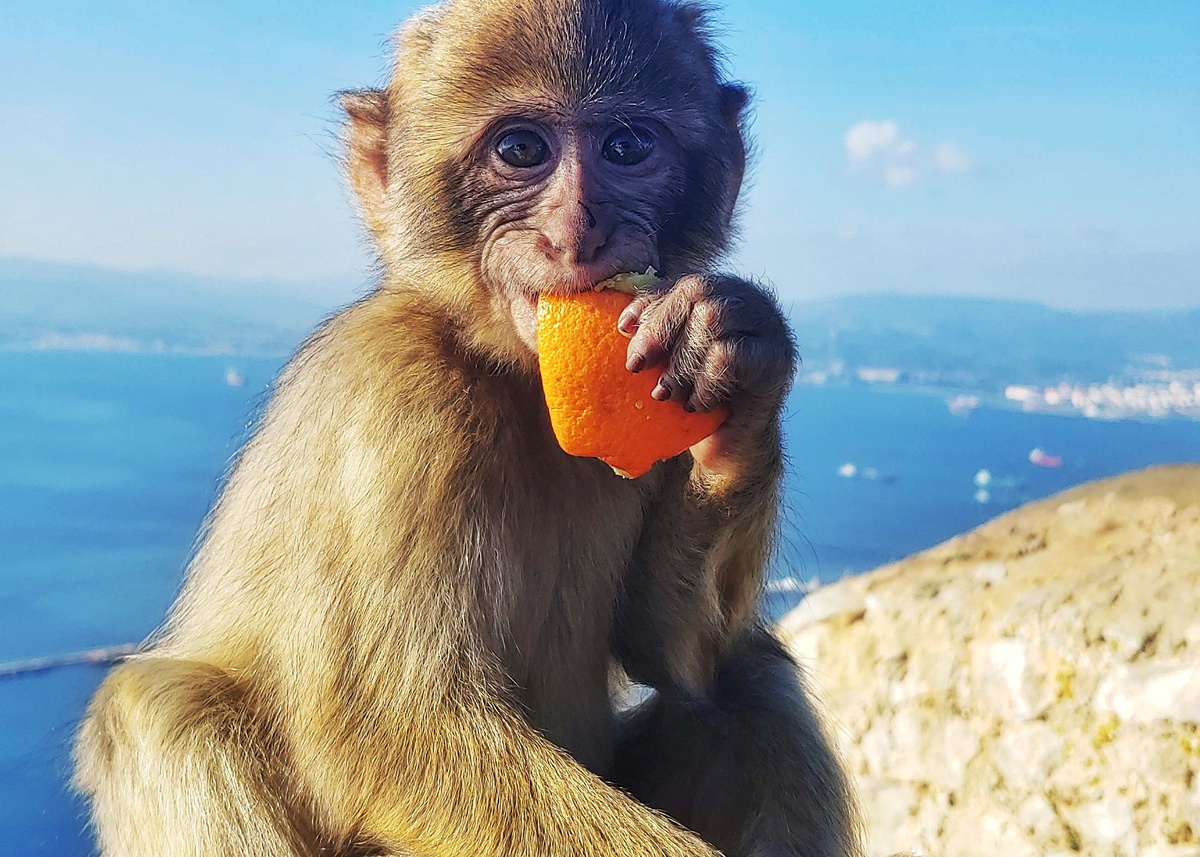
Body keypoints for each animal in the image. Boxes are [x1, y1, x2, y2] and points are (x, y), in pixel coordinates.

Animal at [73, 1, 862, 855]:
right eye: (520, 150)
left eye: (628, 147)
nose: (576, 230)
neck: (511, 375)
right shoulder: (395, 396)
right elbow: (397, 729)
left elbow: (676, 652)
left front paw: (739, 353)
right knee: (165, 709)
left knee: (746, 685)